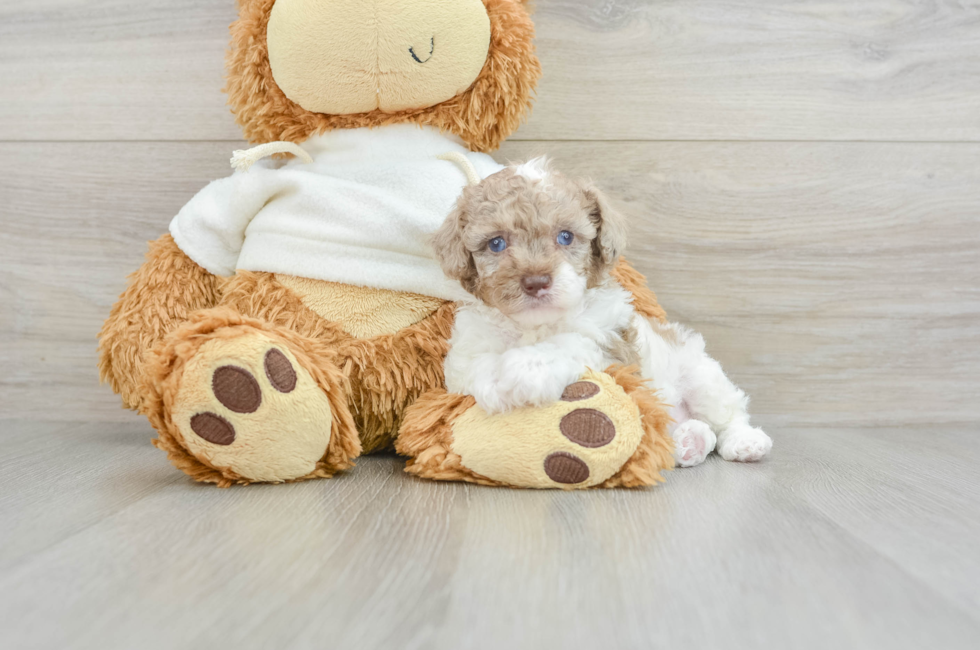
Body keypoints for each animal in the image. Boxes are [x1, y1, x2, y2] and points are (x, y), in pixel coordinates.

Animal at [432, 159, 768, 464]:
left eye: (565, 236)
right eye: (496, 244)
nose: (536, 281)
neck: (536, 326)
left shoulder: (613, 348)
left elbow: (567, 343)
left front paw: (524, 371)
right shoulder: (467, 349)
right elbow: (471, 367)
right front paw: (494, 381)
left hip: (699, 372)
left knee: (727, 414)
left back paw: (744, 442)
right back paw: (690, 442)